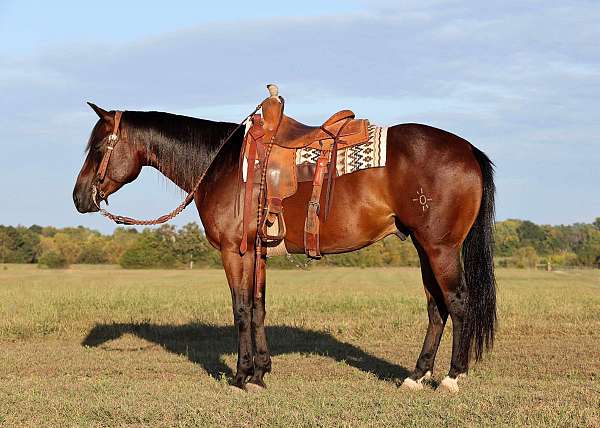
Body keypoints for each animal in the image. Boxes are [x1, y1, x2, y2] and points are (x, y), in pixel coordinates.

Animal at [74, 102, 496, 392]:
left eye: (97, 148)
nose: (79, 198)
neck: (222, 164)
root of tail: (468, 150)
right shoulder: (257, 252)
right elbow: (258, 307)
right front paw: (261, 372)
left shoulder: (235, 251)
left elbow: (241, 309)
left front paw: (242, 376)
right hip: (425, 249)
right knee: (436, 308)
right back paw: (416, 376)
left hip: (440, 248)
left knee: (458, 302)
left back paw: (451, 378)